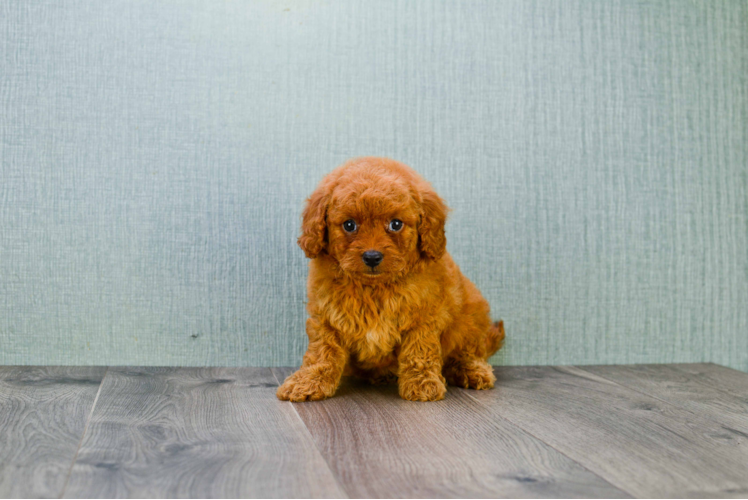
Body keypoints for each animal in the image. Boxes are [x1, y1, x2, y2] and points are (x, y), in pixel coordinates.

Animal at [278, 157, 506, 402]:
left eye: (396, 224)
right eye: (349, 225)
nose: (372, 256)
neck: (374, 287)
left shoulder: (423, 317)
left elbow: (419, 350)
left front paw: (422, 384)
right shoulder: (326, 317)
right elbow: (321, 353)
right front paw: (308, 382)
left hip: (471, 313)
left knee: (468, 350)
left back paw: (471, 370)